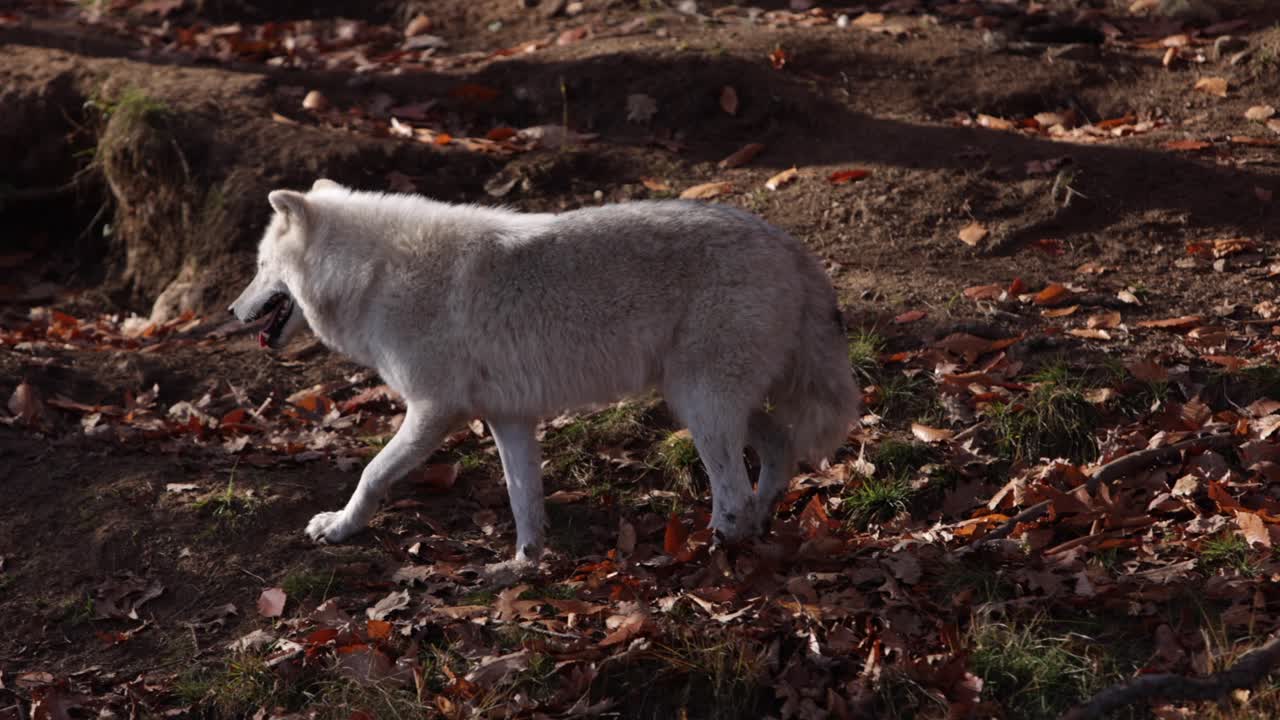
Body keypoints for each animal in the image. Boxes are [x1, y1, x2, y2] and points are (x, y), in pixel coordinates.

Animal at [230, 179, 860, 563]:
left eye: (259, 267)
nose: (233, 311)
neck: (372, 274)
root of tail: (790, 246)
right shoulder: (509, 418)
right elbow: (522, 498)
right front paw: (522, 565)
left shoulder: (433, 412)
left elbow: (371, 474)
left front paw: (339, 526)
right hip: (701, 399)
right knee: (778, 448)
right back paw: (758, 524)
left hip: (700, 404)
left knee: (730, 488)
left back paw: (715, 552)